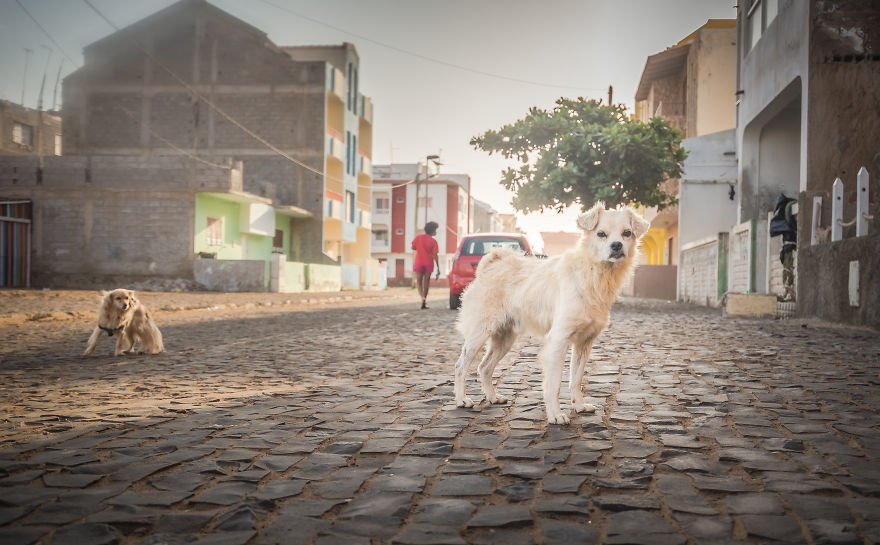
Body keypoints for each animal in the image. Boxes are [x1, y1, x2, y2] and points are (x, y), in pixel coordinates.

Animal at [454, 202, 648, 422]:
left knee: (484, 367)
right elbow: (554, 384)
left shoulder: (584, 343)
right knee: (461, 366)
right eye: (601, 234)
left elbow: (576, 379)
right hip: (479, 333)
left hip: (504, 338)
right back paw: (461, 400)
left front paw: (579, 406)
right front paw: (555, 414)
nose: (616, 245)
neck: (593, 274)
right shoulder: (559, 341)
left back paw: (493, 397)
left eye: (627, 233)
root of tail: (490, 266)